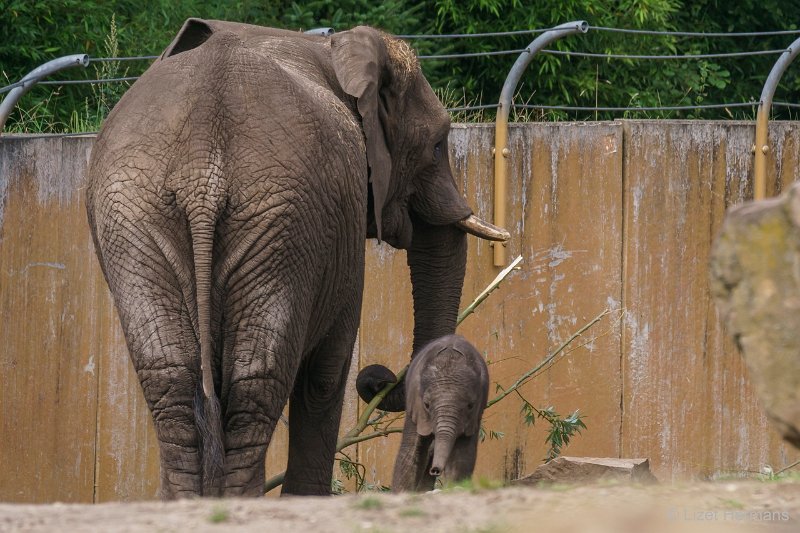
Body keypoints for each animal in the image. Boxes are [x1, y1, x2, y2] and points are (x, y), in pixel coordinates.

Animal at [392, 332, 488, 490]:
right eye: (426, 405)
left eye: (470, 406)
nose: (435, 470)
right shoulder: (415, 406)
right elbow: (409, 454)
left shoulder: (475, 415)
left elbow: (463, 457)